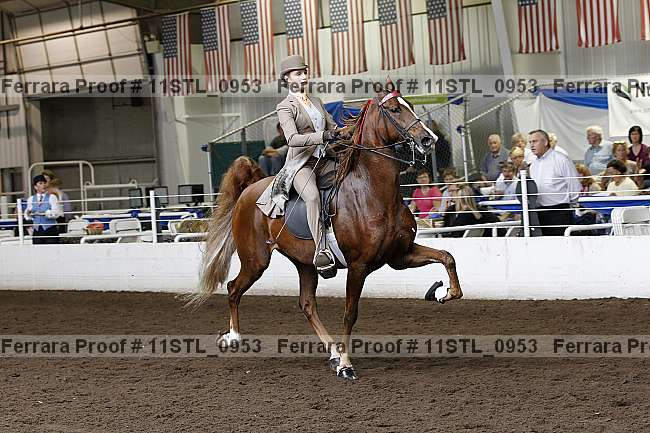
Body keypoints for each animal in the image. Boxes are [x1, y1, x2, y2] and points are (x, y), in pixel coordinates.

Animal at [188, 86, 463, 380]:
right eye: (395, 109)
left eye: (409, 104)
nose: (428, 139)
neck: (372, 192)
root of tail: (250, 190)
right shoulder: (358, 266)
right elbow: (350, 314)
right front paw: (346, 365)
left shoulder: (400, 256)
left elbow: (446, 256)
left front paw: (443, 293)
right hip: (255, 261)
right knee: (233, 288)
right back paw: (234, 337)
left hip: (305, 263)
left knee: (307, 304)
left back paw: (331, 353)